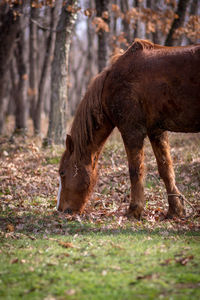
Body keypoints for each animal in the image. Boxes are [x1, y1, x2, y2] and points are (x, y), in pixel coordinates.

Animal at [56, 39, 200, 218]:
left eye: (62, 173)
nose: (60, 210)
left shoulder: (132, 131)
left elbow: (135, 170)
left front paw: (134, 210)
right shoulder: (156, 131)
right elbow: (166, 169)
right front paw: (175, 210)